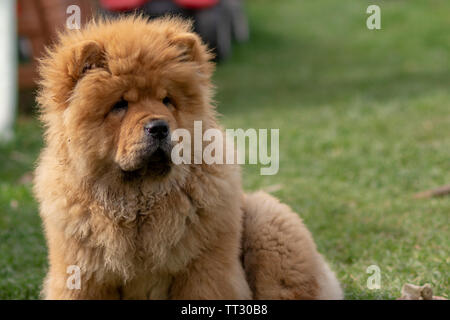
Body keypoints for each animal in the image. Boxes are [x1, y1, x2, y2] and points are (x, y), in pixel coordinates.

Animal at [34, 15, 344, 300]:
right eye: (120, 105)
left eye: (167, 100)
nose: (159, 127)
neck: (139, 201)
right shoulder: (84, 275)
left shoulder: (204, 267)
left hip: (269, 222)